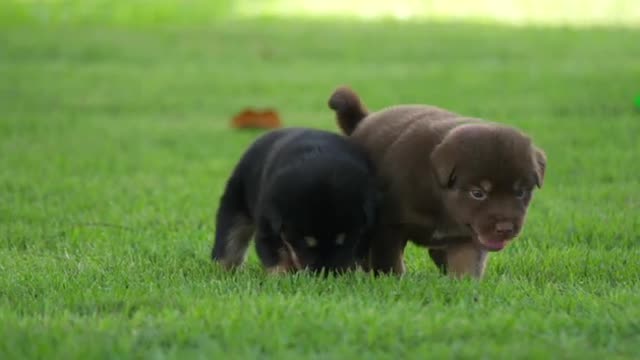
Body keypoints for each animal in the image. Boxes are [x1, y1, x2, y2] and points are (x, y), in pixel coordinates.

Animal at [212, 128, 378, 274]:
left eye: (344, 240)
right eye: (305, 241)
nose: (324, 274)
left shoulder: (365, 231)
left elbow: (355, 254)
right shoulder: (268, 226)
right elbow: (277, 256)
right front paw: (282, 277)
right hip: (236, 202)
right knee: (230, 241)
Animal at [330, 87, 544, 278]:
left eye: (521, 192)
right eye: (477, 193)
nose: (505, 229)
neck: (442, 202)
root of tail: (365, 120)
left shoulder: (465, 236)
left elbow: (466, 265)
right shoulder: (389, 226)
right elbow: (389, 262)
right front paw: (392, 280)